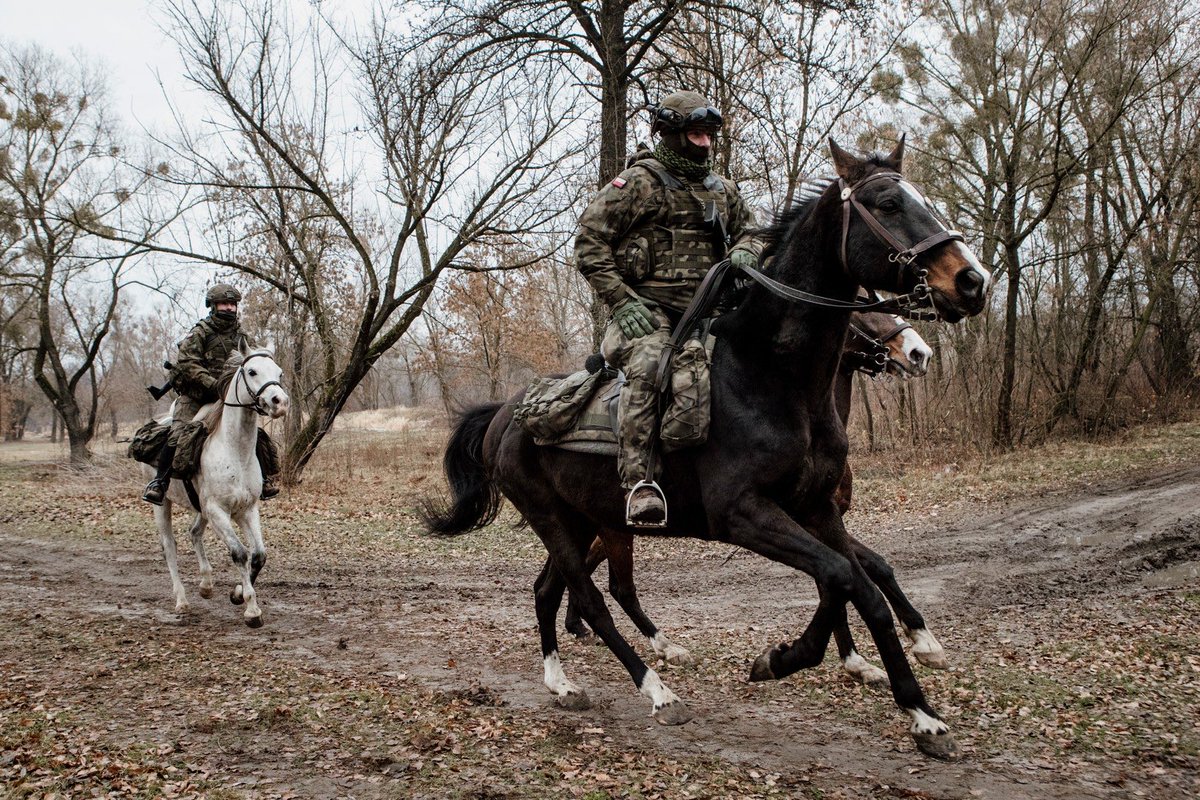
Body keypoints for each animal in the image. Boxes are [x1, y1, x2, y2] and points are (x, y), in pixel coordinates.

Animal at [145, 347, 289, 627]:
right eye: (252, 371)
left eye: (279, 372)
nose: (280, 402)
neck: (235, 450)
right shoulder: (217, 512)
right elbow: (240, 554)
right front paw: (252, 610)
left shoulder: (247, 510)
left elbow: (259, 555)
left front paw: (238, 594)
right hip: (163, 505)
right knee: (169, 547)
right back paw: (182, 602)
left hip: (201, 509)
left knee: (194, 533)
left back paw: (206, 585)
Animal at [423, 138, 990, 759]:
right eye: (887, 203)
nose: (972, 281)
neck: (769, 377)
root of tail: (504, 414)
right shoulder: (744, 515)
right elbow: (842, 576)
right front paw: (792, 660)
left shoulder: (816, 508)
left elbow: (860, 582)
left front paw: (917, 707)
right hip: (555, 519)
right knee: (592, 598)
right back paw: (657, 690)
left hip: (581, 520)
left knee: (549, 590)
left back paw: (562, 682)